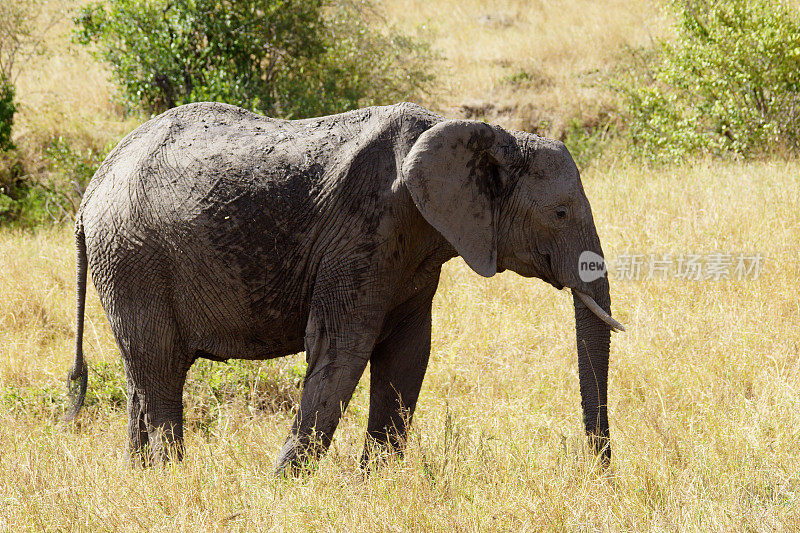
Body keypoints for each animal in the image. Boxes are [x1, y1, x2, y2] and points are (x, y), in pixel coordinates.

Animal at [64, 102, 624, 472]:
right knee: (160, 369)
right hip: (134, 257)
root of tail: (92, 188)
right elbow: (343, 347)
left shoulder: (413, 249)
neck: (482, 134)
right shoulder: (364, 231)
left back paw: (143, 480)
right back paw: (174, 478)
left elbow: (408, 353)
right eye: (560, 213)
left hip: (127, 261)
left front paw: (375, 484)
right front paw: (286, 489)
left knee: (144, 373)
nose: (600, 469)